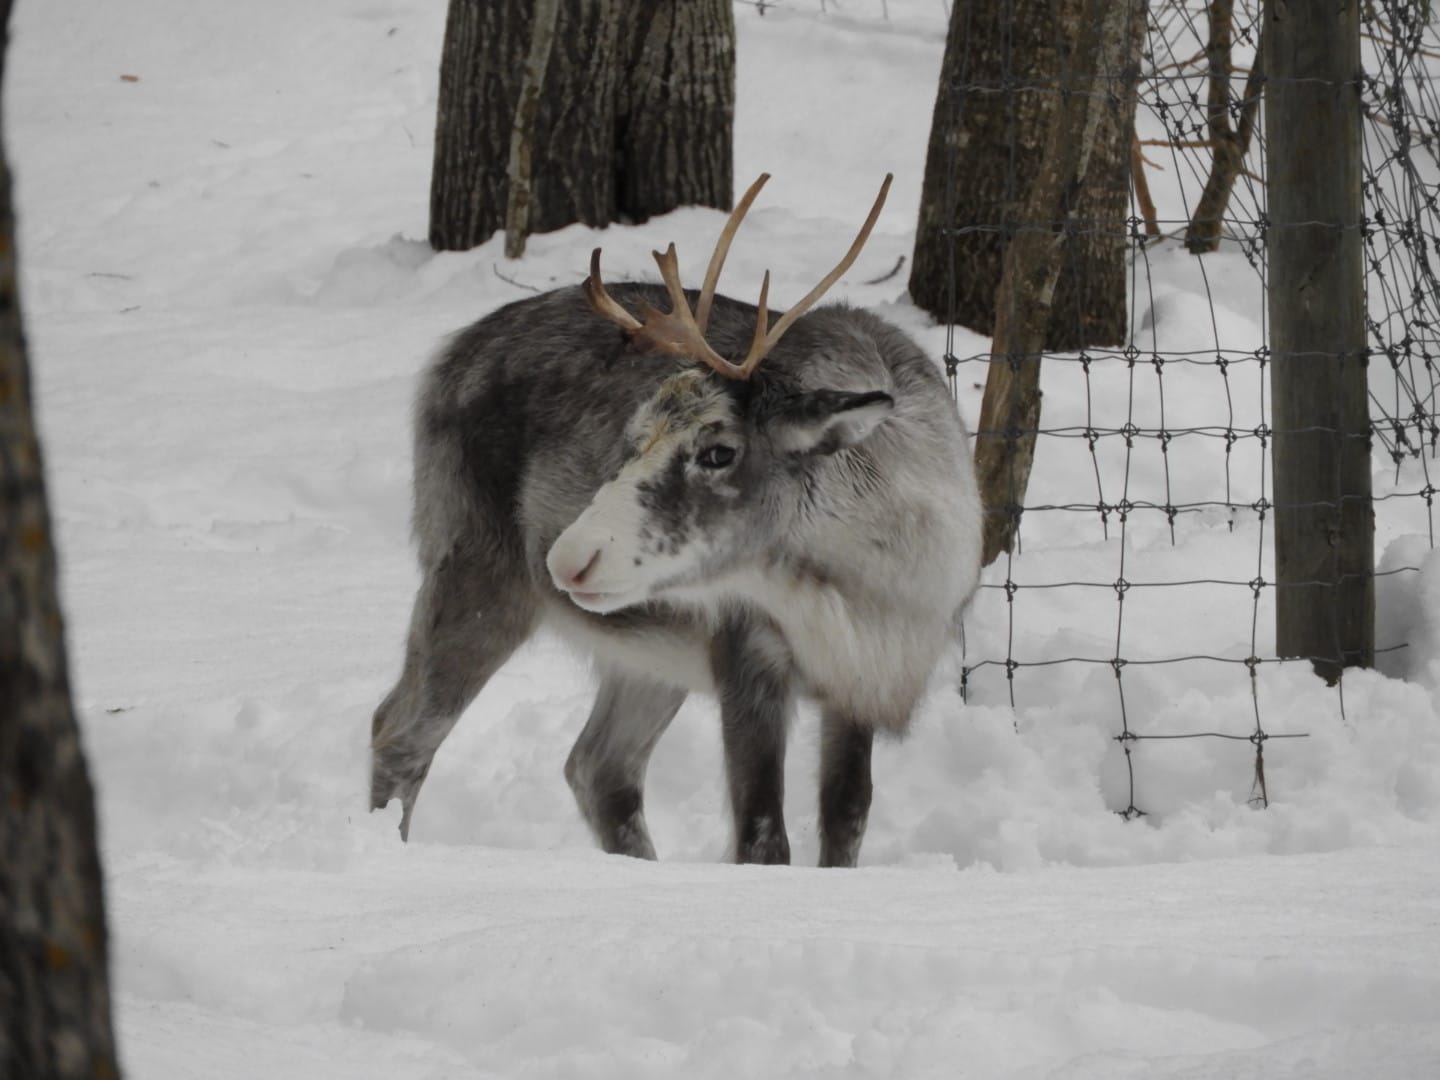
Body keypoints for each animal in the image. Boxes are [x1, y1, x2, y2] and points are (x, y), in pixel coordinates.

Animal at [369, 174, 982, 867]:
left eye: (719, 451)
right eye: (634, 439)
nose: (568, 557)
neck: (876, 581)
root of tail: (446, 357)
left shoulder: (860, 681)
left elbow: (847, 818)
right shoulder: (748, 654)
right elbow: (763, 837)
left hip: (648, 651)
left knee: (599, 767)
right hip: (474, 571)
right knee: (401, 731)